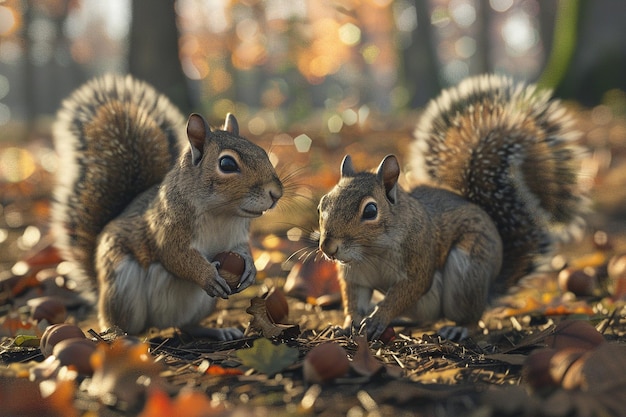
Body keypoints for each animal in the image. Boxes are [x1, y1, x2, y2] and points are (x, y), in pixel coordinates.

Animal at [50, 73, 282, 336]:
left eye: (263, 152)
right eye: (227, 164)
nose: (276, 193)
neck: (221, 213)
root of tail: (159, 324)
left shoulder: (238, 235)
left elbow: (242, 249)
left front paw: (251, 267)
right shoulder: (166, 228)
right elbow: (174, 255)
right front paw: (205, 275)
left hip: (201, 304)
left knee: (185, 325)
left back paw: (214, 331)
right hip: (121, 285)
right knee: (122, 324)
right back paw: (124, 338)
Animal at [316, 75, 584, 340]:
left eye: (370, 211)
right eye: (322, 205)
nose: (328, 247)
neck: (370, 252)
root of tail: (489, 287)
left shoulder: (419, 257)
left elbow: (405, 291)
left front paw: (378, 319)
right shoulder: (355, 276)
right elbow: (353, 300)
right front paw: (347, 324)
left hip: (467, 273)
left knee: (471, 317)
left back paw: (459, 328)